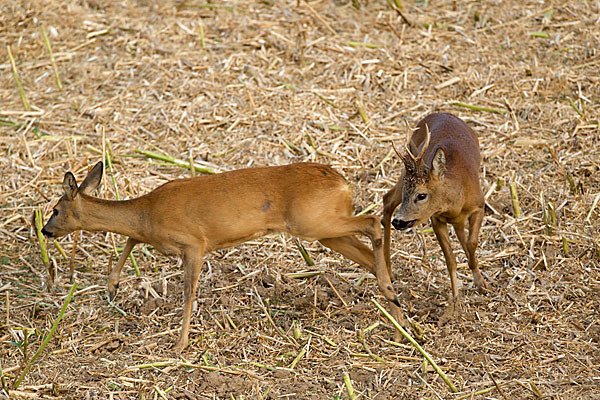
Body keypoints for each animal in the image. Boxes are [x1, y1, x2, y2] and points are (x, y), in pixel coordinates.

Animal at [43, 162, 404, 350]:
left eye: (56, 209)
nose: (45, 231)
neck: (147, 211)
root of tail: (343, 183)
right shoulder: (164, 239)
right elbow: (131, 239)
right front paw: (112, 286)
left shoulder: (194, 243)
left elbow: (188, 292)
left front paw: (179, 345)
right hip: (324, 230)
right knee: (369, 254)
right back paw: (398, 312)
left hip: (314, 223)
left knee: (374, 222)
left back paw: (394, 299)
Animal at [384, 111, 488, 316]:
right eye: (407, 194)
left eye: (421, 195)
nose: (398, 222)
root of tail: (440, 113)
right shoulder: (436, 219)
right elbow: (450, 260)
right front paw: (456, 302)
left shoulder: (479, 206)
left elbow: (471, 243)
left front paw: (480, 282)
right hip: (406, 169)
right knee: (387, 201)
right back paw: (388, 272)